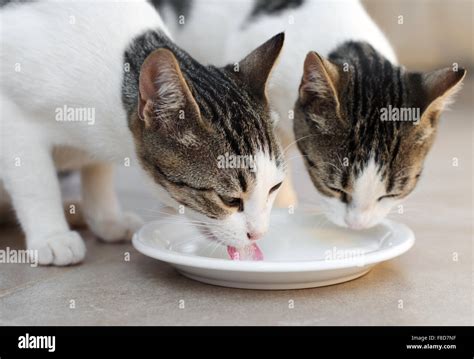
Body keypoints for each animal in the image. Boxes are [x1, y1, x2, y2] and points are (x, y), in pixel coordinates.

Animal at [0, 1, 286, 266]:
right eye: (229, 199)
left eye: (275, 187)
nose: (259, 234)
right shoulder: (12, 116)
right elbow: (36, 181)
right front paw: (52, 236)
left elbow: (97, 171)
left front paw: (107, 218)